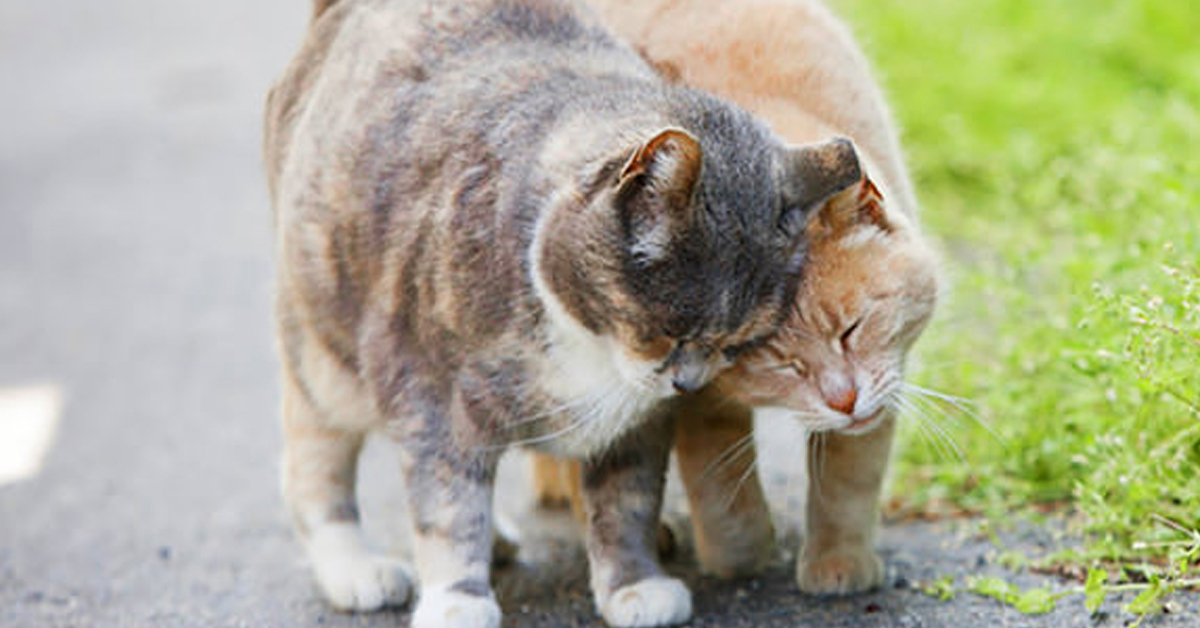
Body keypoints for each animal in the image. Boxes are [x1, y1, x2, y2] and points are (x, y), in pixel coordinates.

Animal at [264, 1, 864, 628]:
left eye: (734, 345)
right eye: (666, 332)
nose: (687, 383)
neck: (590, 348)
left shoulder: (638, 426)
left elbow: (625, 503)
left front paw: (633, 585)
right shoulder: (428, 391)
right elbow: (449, 503)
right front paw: (457, 597)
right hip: (322, 362)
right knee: (314, 467)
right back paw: (356, 569)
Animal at [532, 0, 936, 597]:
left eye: (852, 329)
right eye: (782, 363)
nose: (843, 401)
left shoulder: (886, 374)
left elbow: (849, 478)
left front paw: (838, 563)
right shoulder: (696, 400)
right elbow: (720, 487)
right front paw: (739, 555)